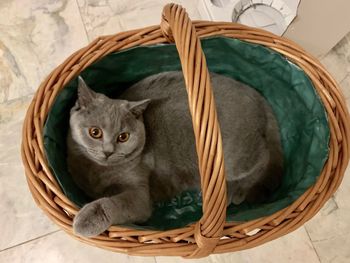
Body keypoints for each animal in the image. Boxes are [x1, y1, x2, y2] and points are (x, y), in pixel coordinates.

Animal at [68, 71, 284, 237]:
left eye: (123, 137)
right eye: (95, 132)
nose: (108, 151)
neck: (98, 172)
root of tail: (255, 95)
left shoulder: (139, 195)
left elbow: (111, 204)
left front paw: (85, 221)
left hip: (232, 157)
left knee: (263, 159)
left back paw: (236, 191)